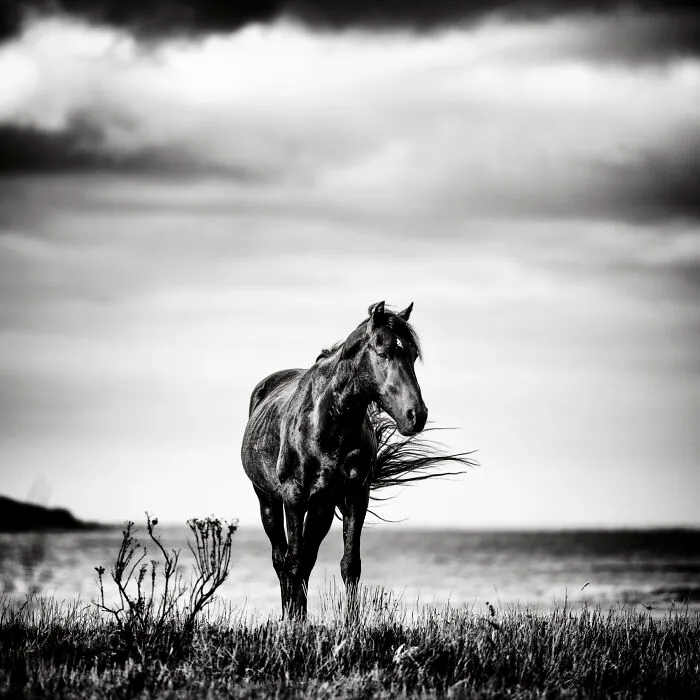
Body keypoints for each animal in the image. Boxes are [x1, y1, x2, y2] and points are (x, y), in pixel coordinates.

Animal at [241, 301, 472, 617]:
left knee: (308, 558)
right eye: (383, 352)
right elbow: (293, 562)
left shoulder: (355, 497)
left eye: (413, 356)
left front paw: (350, 624)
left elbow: (349, 565)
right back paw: (290, 613)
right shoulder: (294, 497)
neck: (327, 424)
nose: (416, 415)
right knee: (282, 559)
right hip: (268, 500)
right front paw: (294, 622)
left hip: (322, 508)